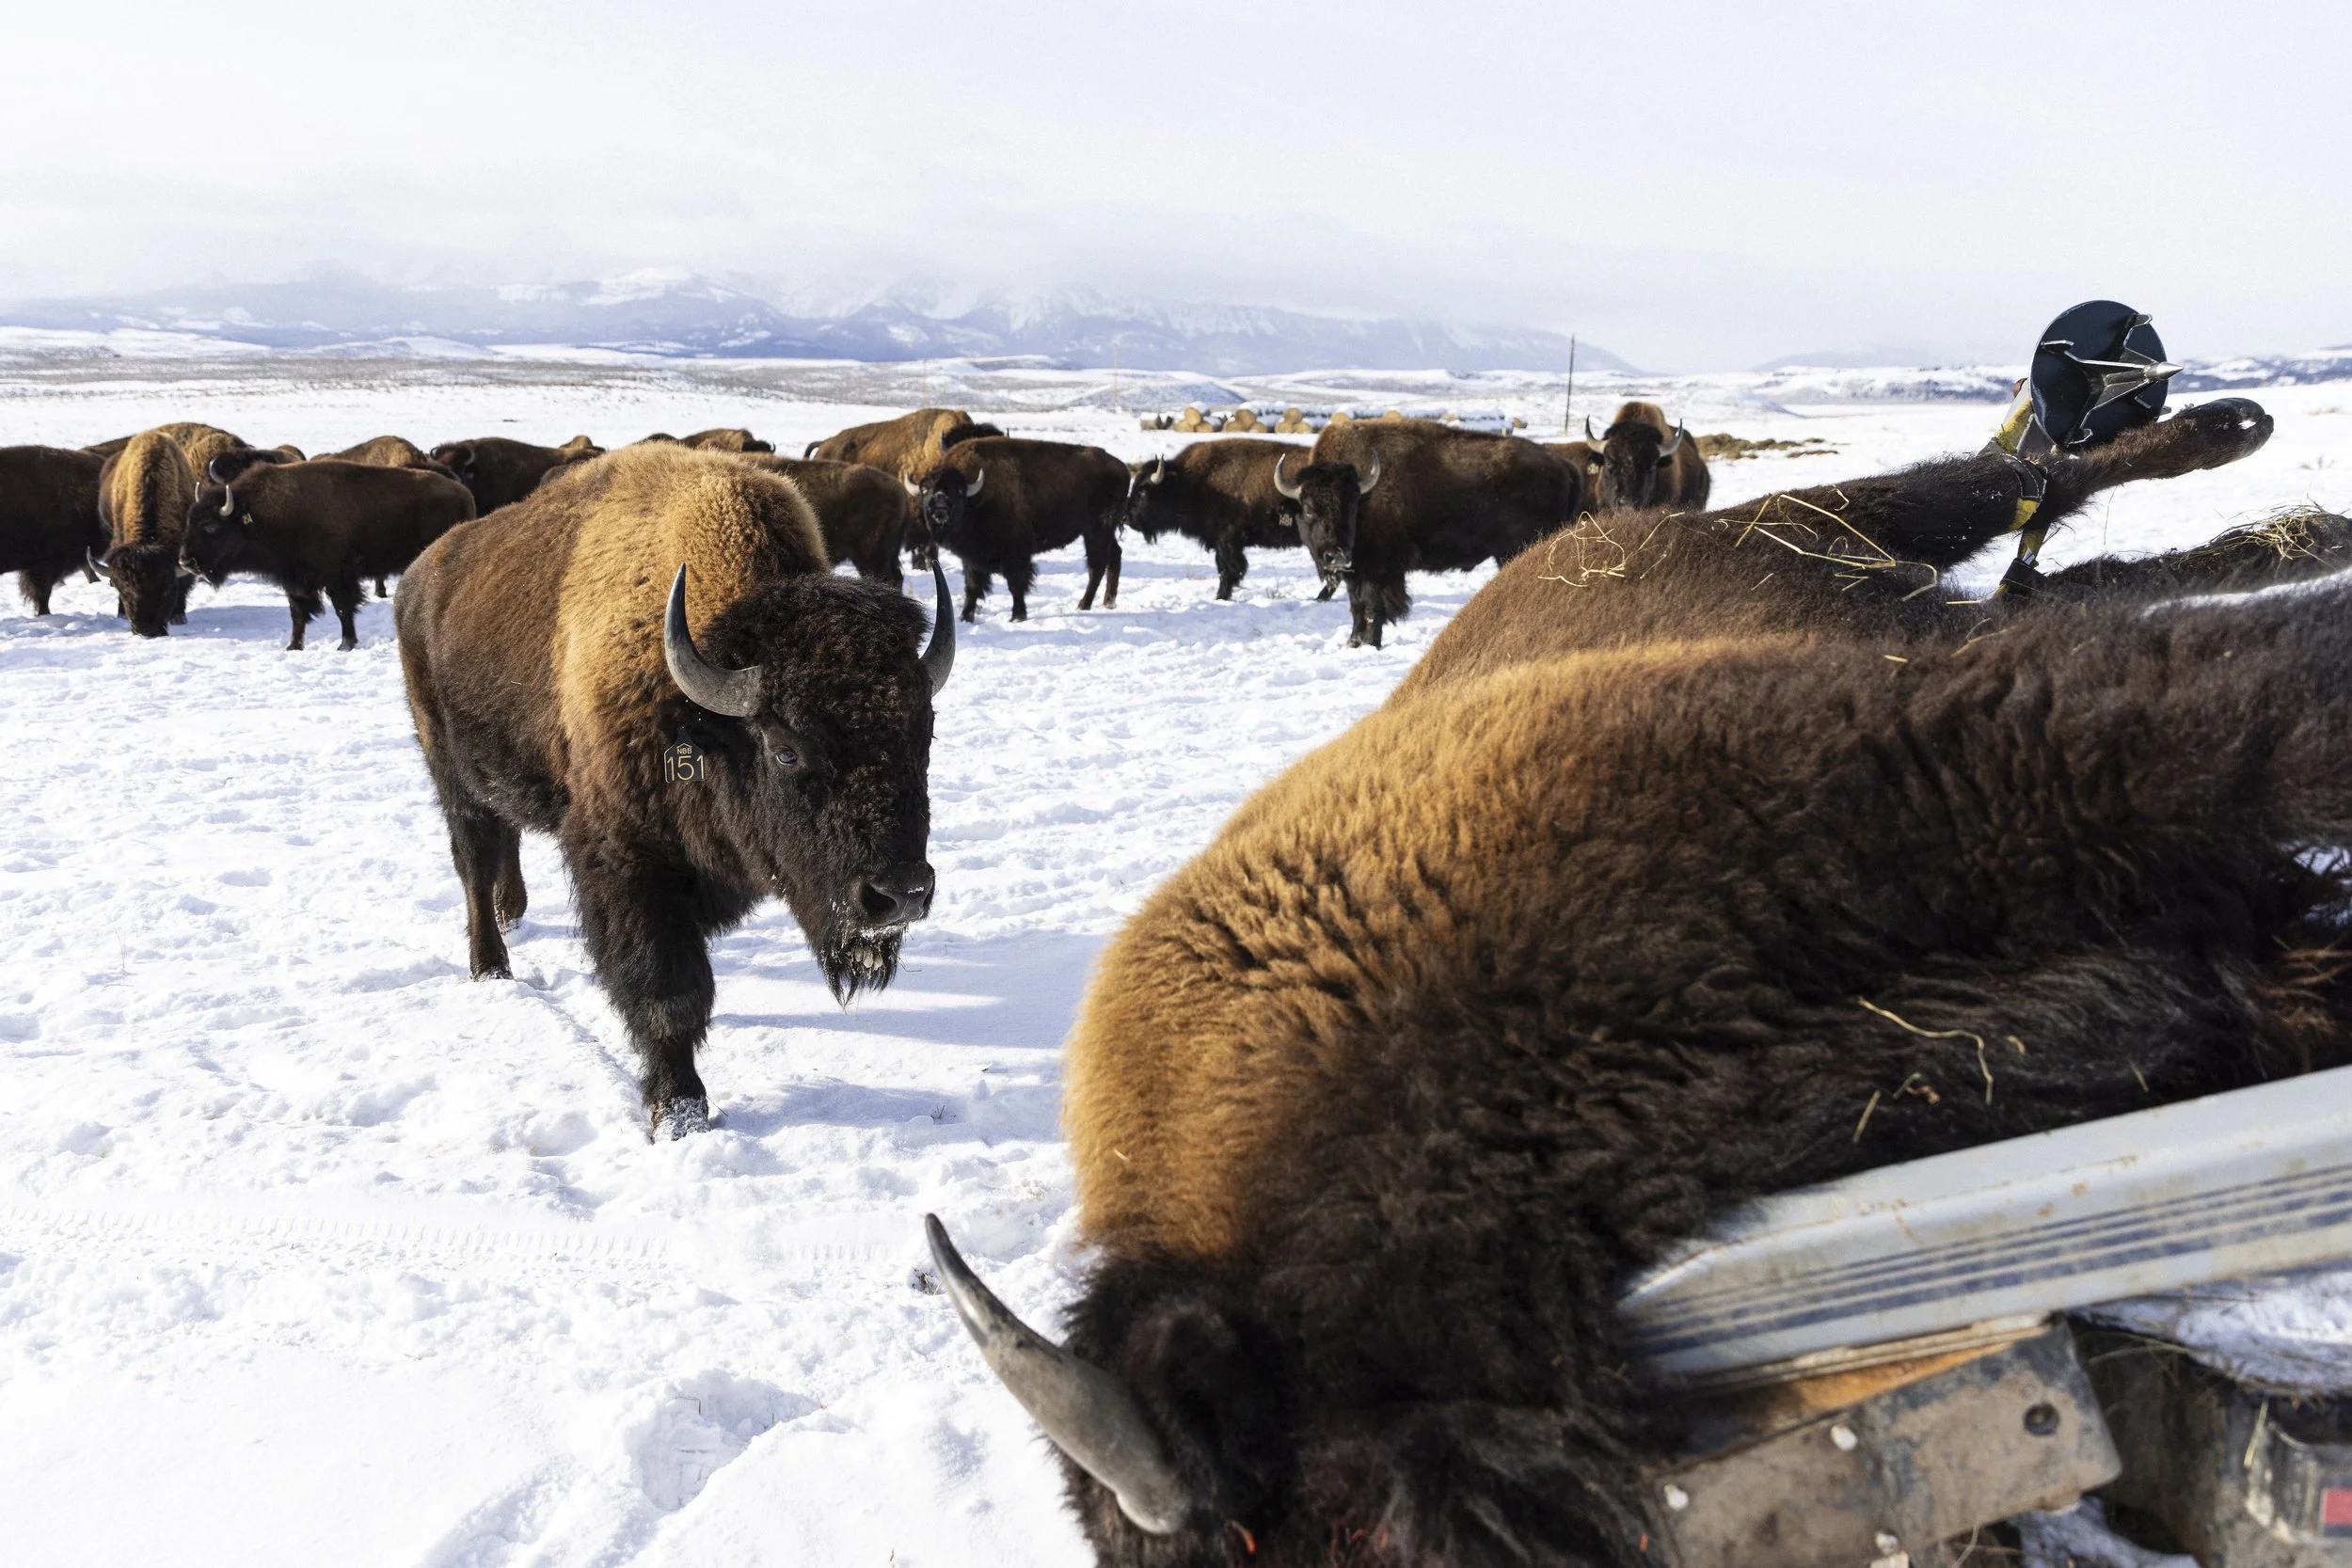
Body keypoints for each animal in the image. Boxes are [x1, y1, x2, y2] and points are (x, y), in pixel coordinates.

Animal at [181, 454, 476, 650]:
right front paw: (293, 646)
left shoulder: (338, 577)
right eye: (189, 521)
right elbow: (297, 614)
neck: (263, 515)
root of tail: (463, 492)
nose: (185, 561)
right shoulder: (294, 581)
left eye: (210, 526)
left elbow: (343, 609)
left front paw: (346, 644)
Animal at [911, 437, 1128, 622]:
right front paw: (966, 617)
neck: (978, 497)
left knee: (1097, 565)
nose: (939, 504)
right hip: (1101, 532)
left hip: (1096, 530)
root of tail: (1122, 467)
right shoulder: (972, 558)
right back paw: (1108, 602)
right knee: (1114, 555)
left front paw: (1018, 616)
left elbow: (1016, 584)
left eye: (959, 490)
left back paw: (1084, 604)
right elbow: (972, 586)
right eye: (925, 489)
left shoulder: (1015, 554)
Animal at [1124, 439, 1307, 601]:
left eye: (1144, 490)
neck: (1191, 482)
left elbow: (1228, 571)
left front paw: (1221, 597)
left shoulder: (1227, 541)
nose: (1126, 517)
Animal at [1273, 418, 1584, 648]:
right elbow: (1357, 607)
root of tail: (1565, 466)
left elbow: (1373, 608)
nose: (1335, 554)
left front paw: (1371, 643)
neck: (1367, 495)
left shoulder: (1378, 570)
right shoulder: (1357, 571)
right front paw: (1353, 643)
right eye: (1308, 508)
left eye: (1351, 505)